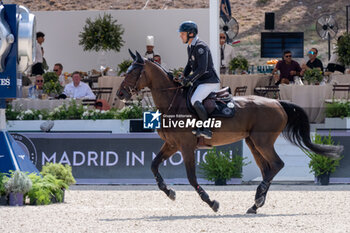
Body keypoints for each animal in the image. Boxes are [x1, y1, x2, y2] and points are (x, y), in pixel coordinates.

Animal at [116, 50, 344, 214]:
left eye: (133, 72)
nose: (120, 94)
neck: (173, 103)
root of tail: (277, 102)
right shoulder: (172, 145)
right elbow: (153, 165)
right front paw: (169, 191)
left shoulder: (187, 147)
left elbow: (191, 178)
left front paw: (211, 202)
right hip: (253, 143)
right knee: (267, 169)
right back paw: (256, 204)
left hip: (262, 141)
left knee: (277, 165)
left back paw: (257, 199)